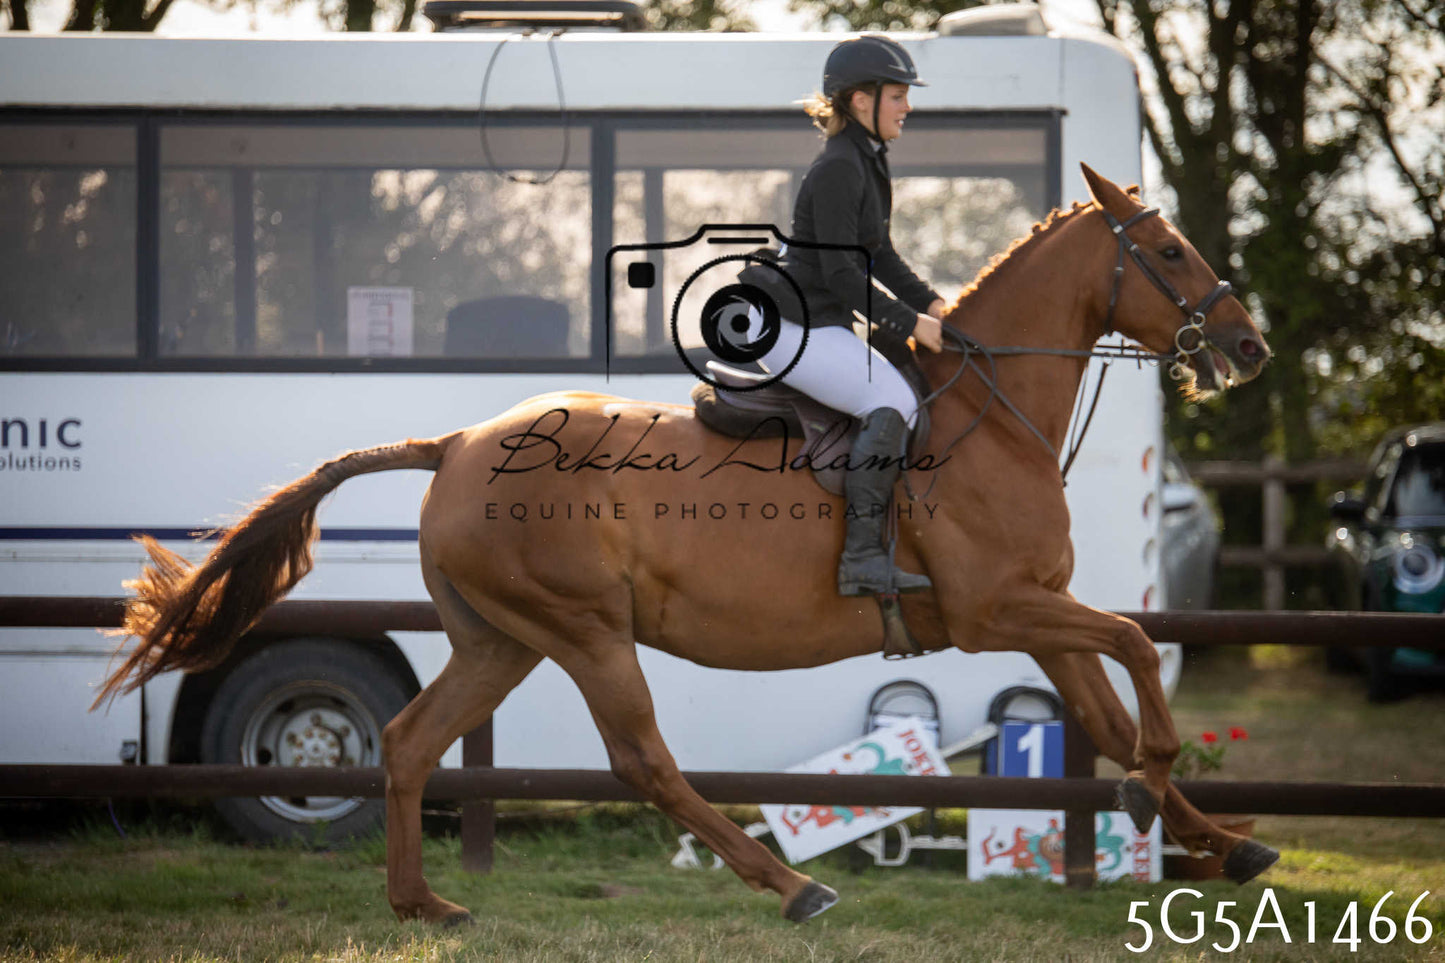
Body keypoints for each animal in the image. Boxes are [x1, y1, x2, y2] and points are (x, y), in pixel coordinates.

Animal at [97, 165, 1275, 925]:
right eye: (1166, 250)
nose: (1249, 346)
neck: (991, 413)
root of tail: (455, 446)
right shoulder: (997, 612)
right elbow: (1134, 650)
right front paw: (1157, 794)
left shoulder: (1035, 614)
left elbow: (1106, 708)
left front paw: (1218, 839)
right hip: (584, 633)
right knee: (643, 762)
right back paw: (792, 886)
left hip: (498, 642)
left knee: (408, 742)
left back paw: (422, 902)